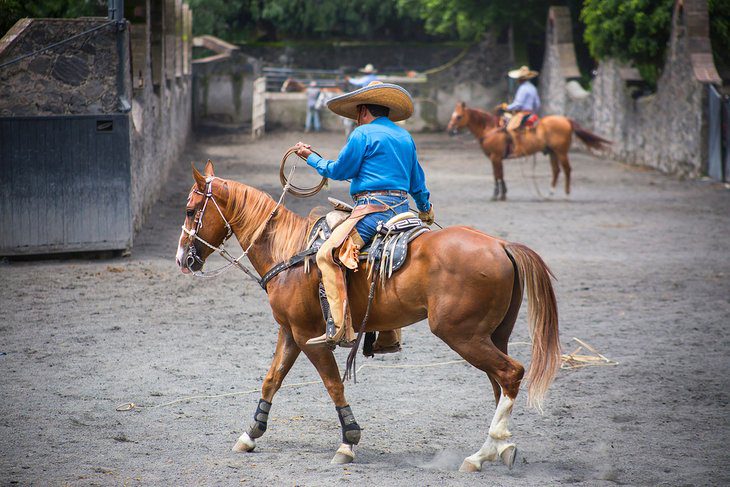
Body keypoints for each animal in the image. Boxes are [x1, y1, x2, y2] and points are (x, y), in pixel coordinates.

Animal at [173, 162, 560, 474]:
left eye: (191, 210)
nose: (182, 259)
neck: (290, 252)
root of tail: (501, 245)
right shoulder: (289, 332)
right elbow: (272, 380)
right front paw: (250, 434)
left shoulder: (309, 337)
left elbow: (333, 384)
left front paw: (348, 441)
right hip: (493, 335)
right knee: (500, 383)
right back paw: (501, 448)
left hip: (462, 335)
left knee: (510, 373)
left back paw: (480, 456)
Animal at [444, 102, 608, 201]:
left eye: (458, 116)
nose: (449, 130)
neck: (490, 129)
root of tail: (566, 120)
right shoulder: (496, 158)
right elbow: (499, 175)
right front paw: (503, 193)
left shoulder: (495, 157)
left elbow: (497, 175)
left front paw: (497, 195)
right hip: (552, 153)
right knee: (556, 170)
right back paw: (550, 193)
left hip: (561, 152)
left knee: (567, 170)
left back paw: (566, 195)